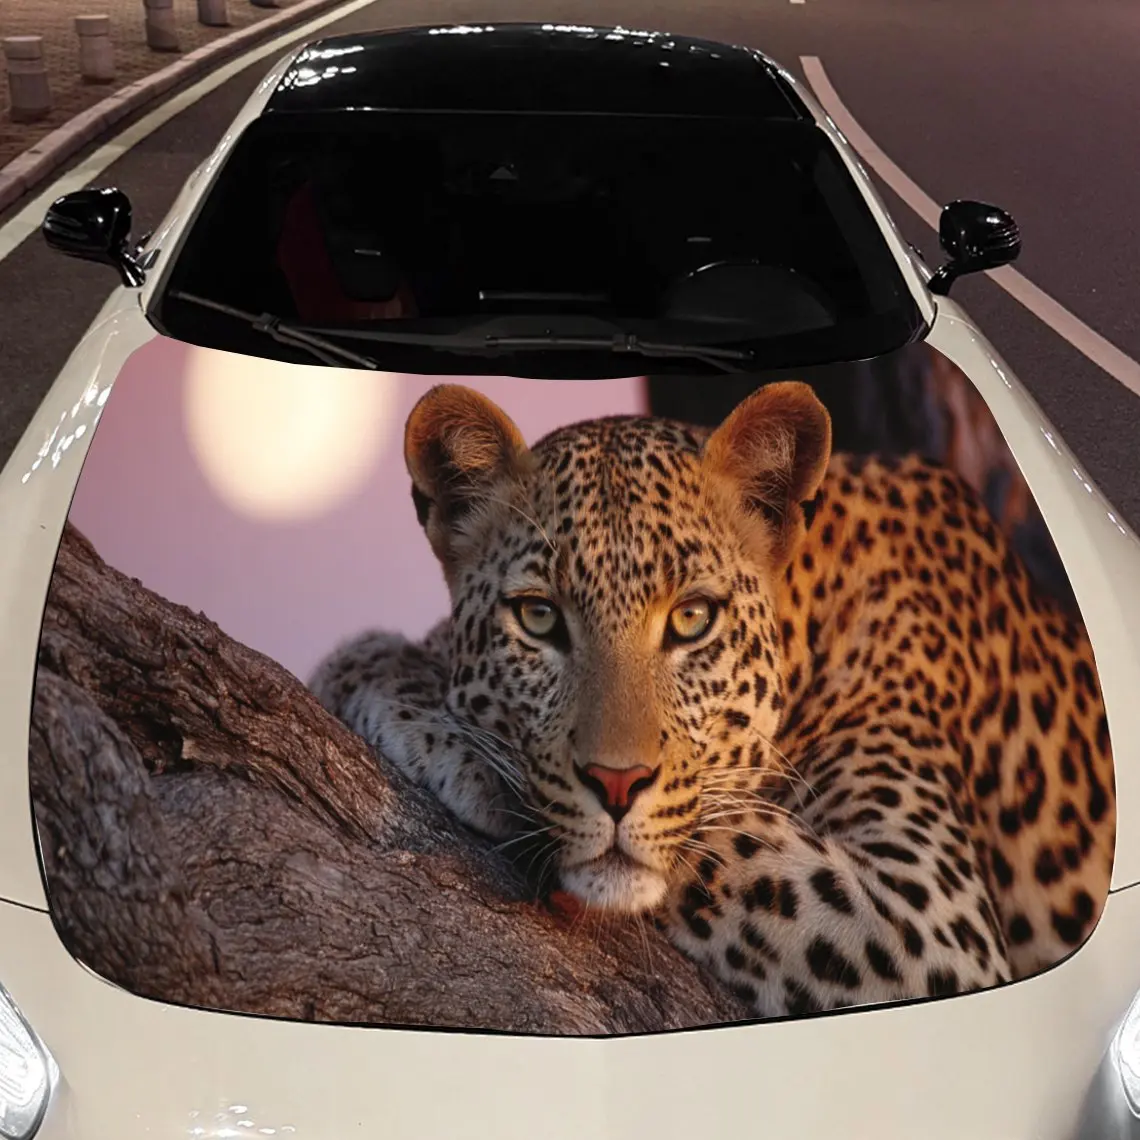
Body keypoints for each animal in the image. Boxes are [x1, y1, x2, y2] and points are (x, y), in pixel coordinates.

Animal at [308, 380, 1115, 1019]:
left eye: (693, 618)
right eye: (538, 618)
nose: (616, 784)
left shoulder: (934, 920)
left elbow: (717, 831)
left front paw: (399, 684)